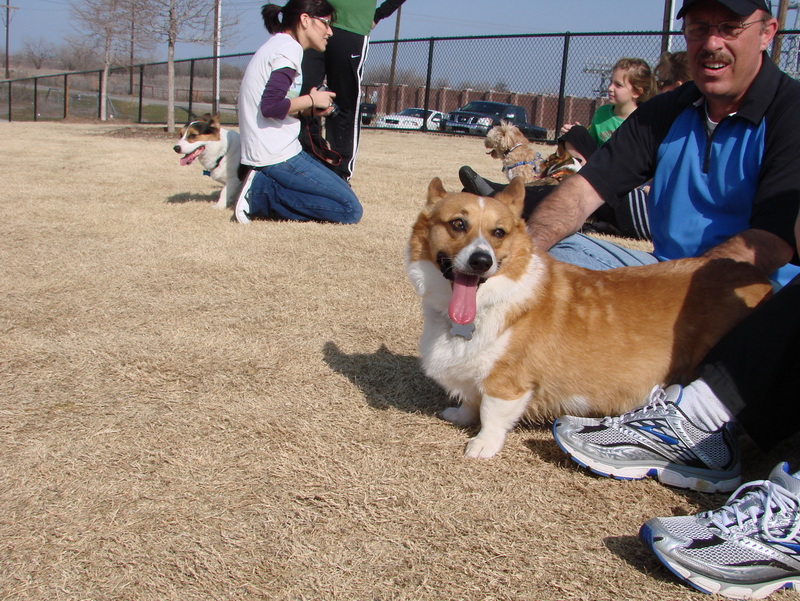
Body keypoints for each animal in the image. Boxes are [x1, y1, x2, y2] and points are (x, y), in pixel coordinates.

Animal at [410, 176, 772, 458]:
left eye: (499, 232)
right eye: (458, 224)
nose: (482, 261)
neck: (485, 303)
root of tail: (763, 282)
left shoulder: (507, 382)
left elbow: (491, 413)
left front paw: (482, 445)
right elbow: (471, 399)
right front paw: (459, 414)